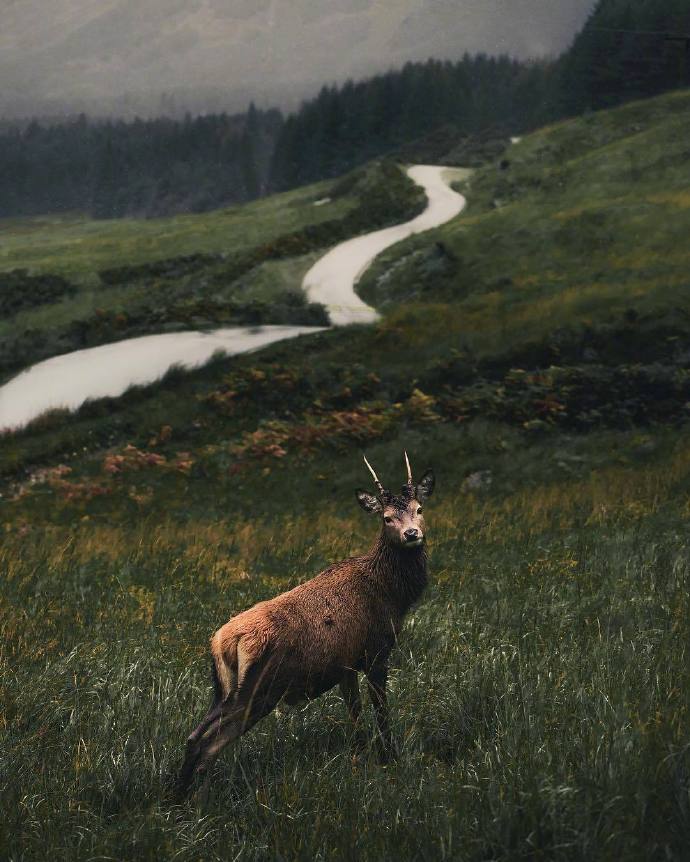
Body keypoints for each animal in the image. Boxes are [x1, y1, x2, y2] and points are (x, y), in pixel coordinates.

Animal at [175, 452, 435, 797]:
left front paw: (360, 757)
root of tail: (222, 643)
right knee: (208, 745)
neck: (392, 595)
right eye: (387, 518)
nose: (412, 534)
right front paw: (388, 759)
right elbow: (381, 711)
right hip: (259, 689)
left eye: (419, 509)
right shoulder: (376, 650)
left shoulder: (345, 664)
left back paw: (177, 795)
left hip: (223, 690)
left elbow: (354, 714)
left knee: (193, 737)